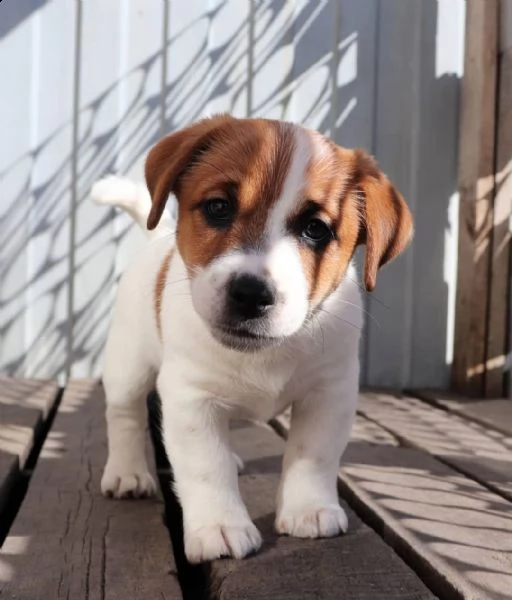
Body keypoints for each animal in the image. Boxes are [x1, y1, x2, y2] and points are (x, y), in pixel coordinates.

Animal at [91, 115, 412, 564]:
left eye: (316, 230)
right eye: (218, 207)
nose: (249, 294)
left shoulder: (330, 393)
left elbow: (313, 454)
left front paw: (308, 510)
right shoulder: (191, 399)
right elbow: (205, 466)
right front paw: (219, 526)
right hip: (128, 367)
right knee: (124, 417)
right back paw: (128, 473)